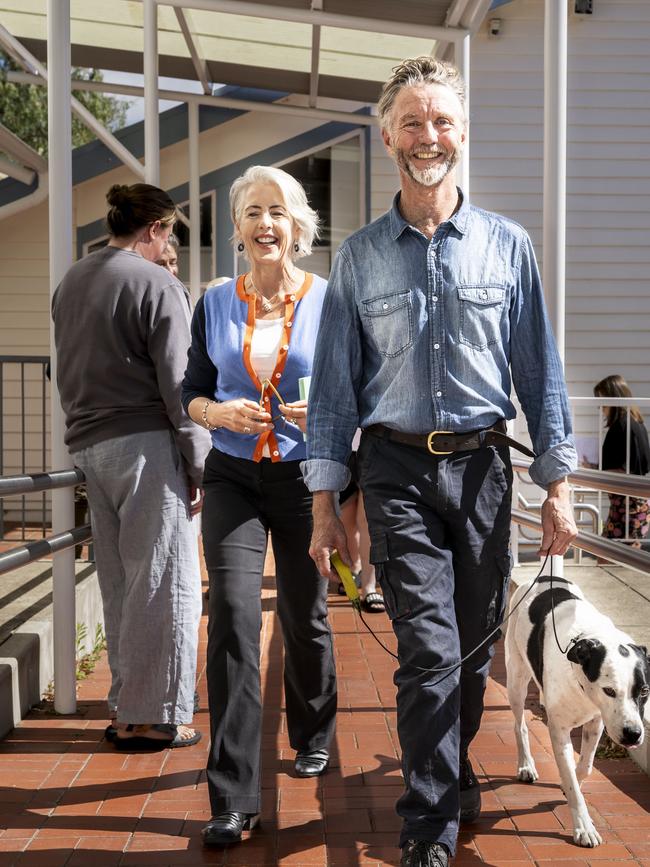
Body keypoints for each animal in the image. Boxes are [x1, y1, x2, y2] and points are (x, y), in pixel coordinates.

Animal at [506, 576, 648, 848]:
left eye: (644, 691)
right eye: (609, 690)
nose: (633, 734)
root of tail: (543, 577)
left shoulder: (597, 721)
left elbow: (584, 768)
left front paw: (569, 782)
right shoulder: (558, 730)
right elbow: (572, 781)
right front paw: (584, 827)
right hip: (516, 679)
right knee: (519, 725)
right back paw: (526, 764)